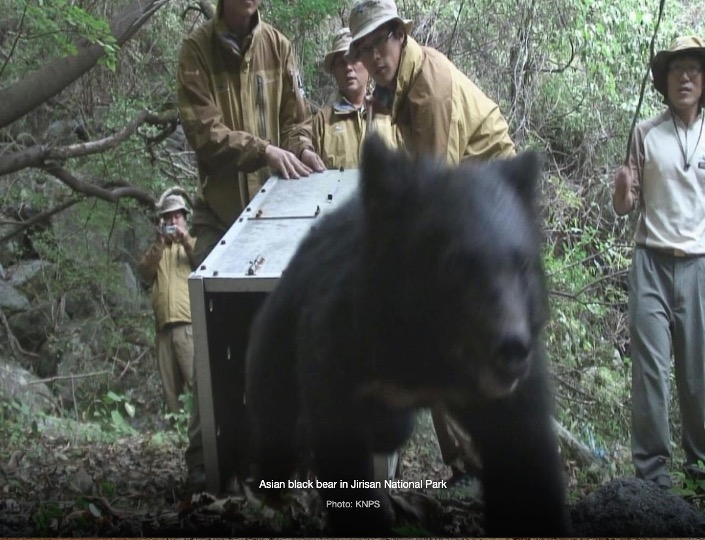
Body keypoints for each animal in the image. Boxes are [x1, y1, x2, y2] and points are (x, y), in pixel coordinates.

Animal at [245, 135, 568, 536]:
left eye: (522, 264)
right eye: (454, 266)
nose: (511, 349)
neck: (426, 357)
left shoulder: (513, 393)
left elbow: (526, 455)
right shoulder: (338, 345)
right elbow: (340, 451)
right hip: (278, 335)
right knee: (274, 412)